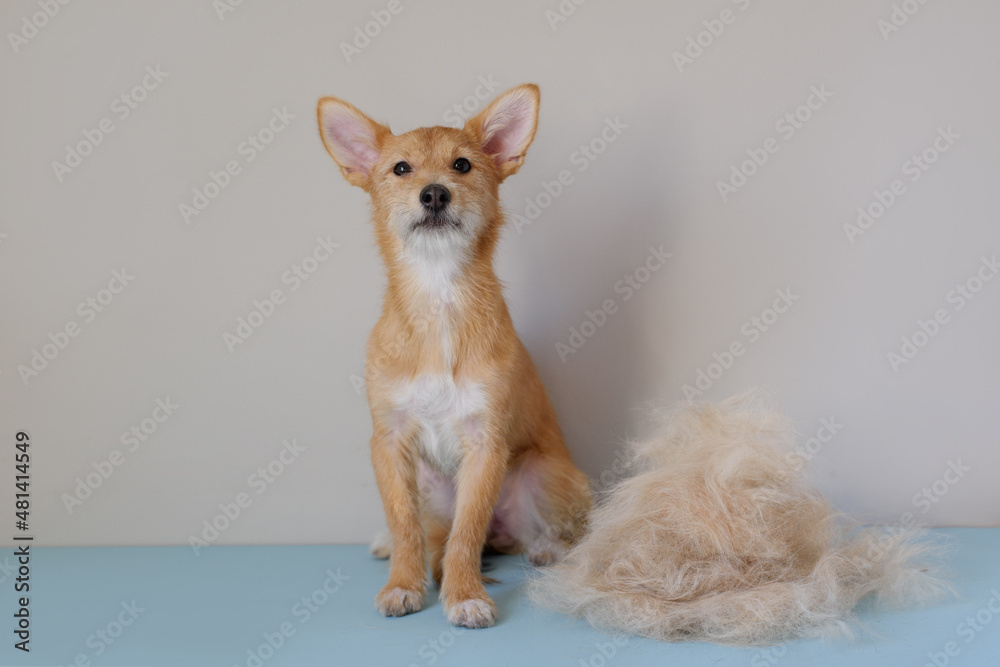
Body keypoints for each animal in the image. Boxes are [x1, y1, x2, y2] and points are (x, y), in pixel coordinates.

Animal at [316, 85, 588, 632]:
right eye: (400, 169)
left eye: (462, 165)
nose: (435, 193)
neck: (439, 293)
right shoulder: (389, 442)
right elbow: (405, 525)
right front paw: (403, 583)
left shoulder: (485, 445)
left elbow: (467, 533)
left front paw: (464, 594)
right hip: (426, 480)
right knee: (428, 530)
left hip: (544, 472)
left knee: (563, 531)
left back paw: (547, 547)